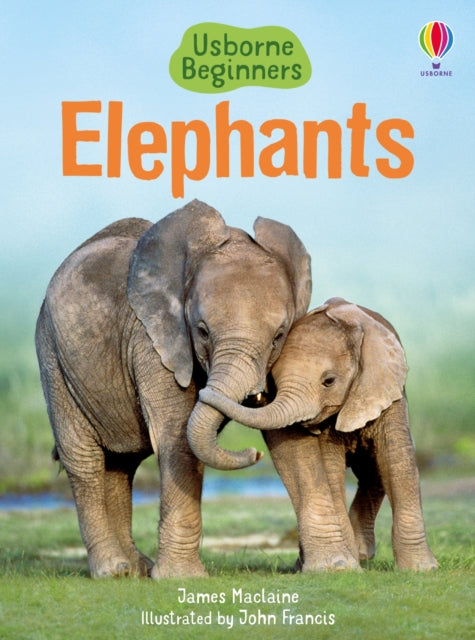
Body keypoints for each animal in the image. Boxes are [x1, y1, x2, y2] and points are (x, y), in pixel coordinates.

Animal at [35, 199, 312, 578]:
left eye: (278, 336)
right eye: (202, 331)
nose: (254, 454)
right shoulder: (152, 340)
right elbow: (177, 435)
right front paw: (182, 577)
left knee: (120, 464)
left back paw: (135, 568)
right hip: (52, 354)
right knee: (84, 458)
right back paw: (114, 570)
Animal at [200, 297, 438, 571]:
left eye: (329, 381)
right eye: (274, 381)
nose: (255, 453)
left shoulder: (386, 391)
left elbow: (396, 460)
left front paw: (423, 569)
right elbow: (330, 469)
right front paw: (344, 566)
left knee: (373, 470)